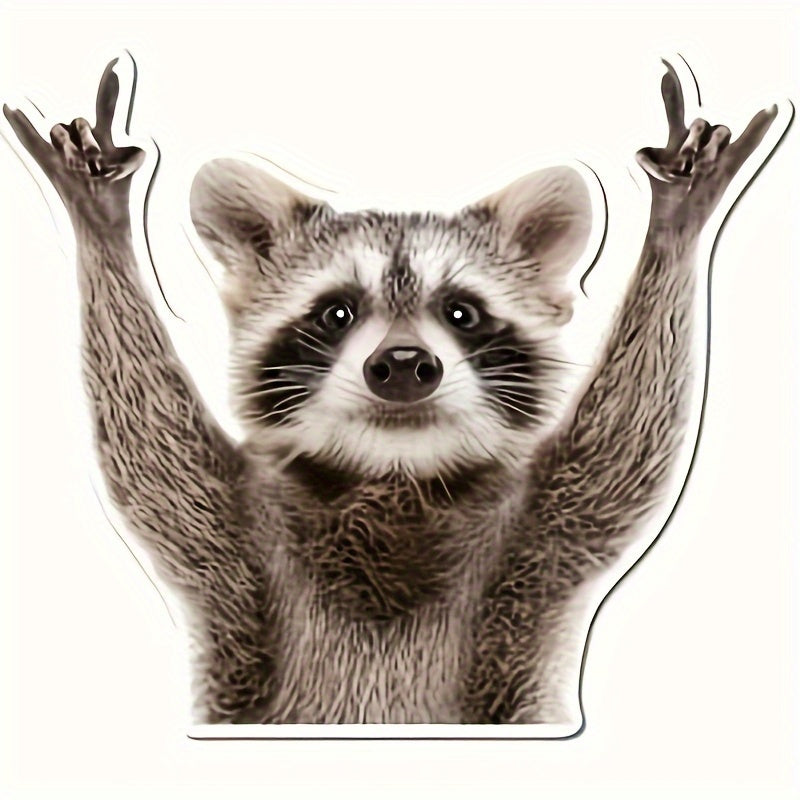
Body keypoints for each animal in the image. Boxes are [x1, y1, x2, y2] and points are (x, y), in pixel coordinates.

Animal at [2, 57, 781, 725]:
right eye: (337, 313)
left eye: (461, 313)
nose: (404, 364)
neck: (394, 474)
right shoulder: (235, 545)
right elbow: (151, 453)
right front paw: (100, 225)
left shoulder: (539, 545)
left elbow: (624, 451)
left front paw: (675, 226)